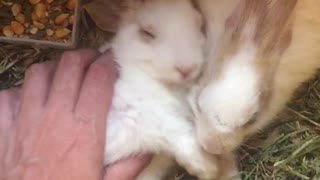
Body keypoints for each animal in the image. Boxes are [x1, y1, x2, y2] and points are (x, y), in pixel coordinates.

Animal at [99, 0, 221, 179]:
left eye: (200, 24)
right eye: (147, 33)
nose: (186, 68)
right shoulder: (138, 116)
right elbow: (174, 129)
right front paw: (208, 167)